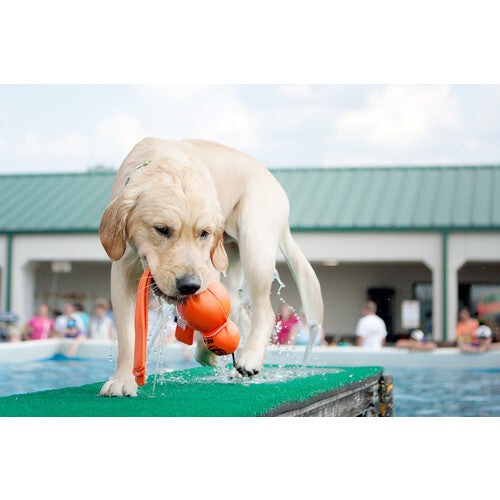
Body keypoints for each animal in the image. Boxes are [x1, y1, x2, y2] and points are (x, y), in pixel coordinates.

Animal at [98, 137, 324, 394]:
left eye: (204, 233)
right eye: (161, 229)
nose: (189, 285)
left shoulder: (207, 268)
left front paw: (209, 352)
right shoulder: (123, 269)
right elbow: (128, 335)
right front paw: (122, 380)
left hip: (255, 245)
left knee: (264, 311)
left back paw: (249, 359)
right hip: (232, 260)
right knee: (240, 310)